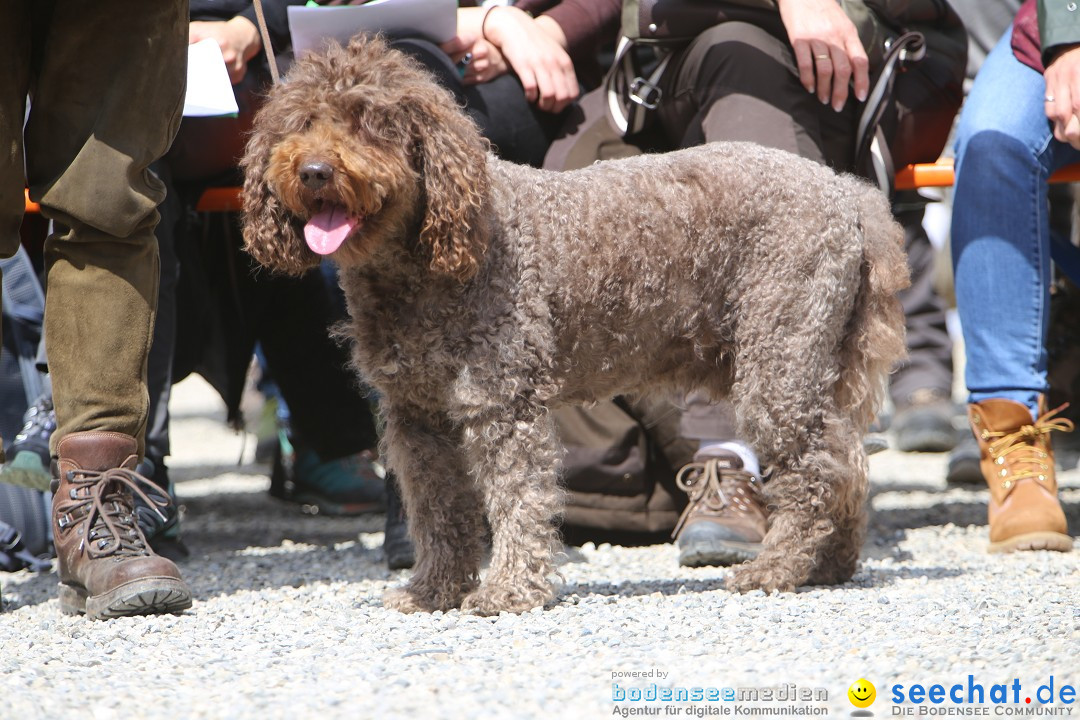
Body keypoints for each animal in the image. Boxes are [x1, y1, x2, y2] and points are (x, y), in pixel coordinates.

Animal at [240, 36, 907, 617]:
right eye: (300, 122)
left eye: (369, 121)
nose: (315, 170)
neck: (426, 262)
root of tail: (847, 193)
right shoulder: (417, 418)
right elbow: (437, 512)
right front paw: (433, 591)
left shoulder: (502, 403)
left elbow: (517, 498)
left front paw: (509, 591)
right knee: (847, 460)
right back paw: (829, 565)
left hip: (779, 356)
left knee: (815, 468)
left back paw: (776, 568)